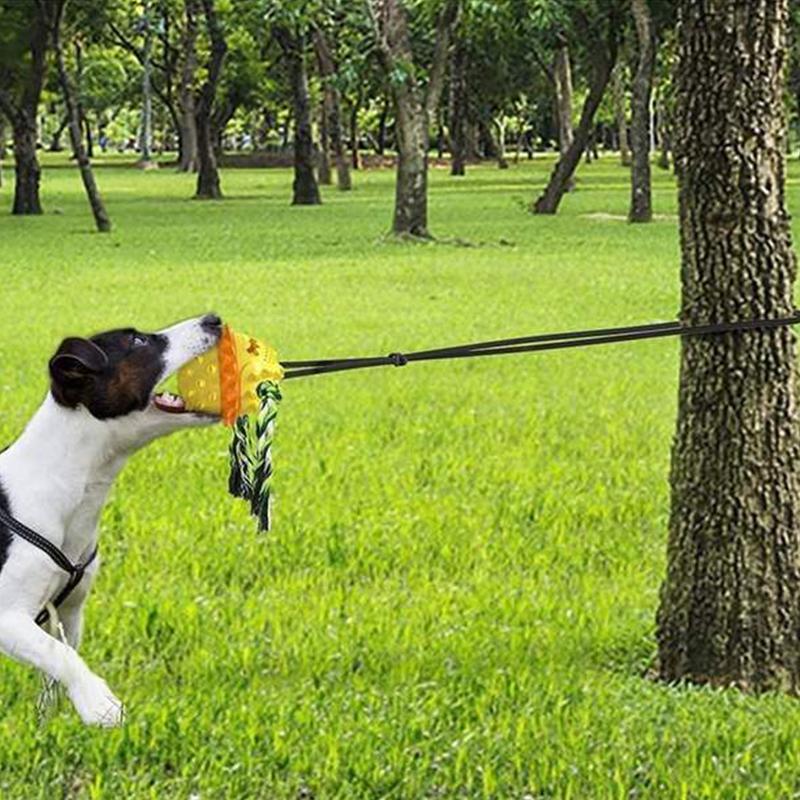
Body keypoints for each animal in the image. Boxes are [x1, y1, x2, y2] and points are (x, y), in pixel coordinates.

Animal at [0, 312, 222, 724]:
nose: (213, 318)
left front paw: (49, 722)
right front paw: (100, 704)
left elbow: (57, 667)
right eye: (136, 342)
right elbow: (62, 657)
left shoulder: (69, 612)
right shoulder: (7, 617)